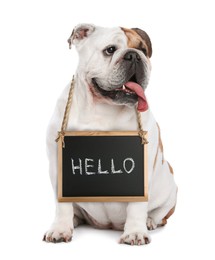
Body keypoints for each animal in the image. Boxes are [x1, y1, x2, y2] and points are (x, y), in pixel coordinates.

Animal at [43, 23, 176, 245]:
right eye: (110, 50)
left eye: (143, 49)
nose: (134, 55)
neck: (103, 107)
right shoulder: (58, 164)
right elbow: (63, 205)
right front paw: (61, 229)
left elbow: (137, 206)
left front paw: (135, 232)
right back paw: (74, 220)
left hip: (170, 189)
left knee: (159, 214)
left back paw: (149, 221)